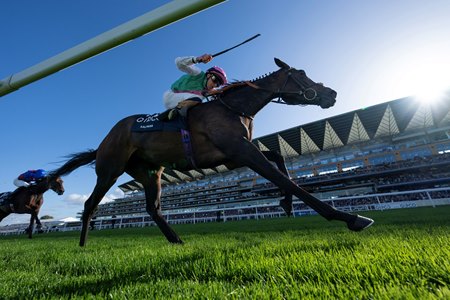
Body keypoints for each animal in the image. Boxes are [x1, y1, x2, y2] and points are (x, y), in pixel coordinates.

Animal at [52, 58, 374, 246]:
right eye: (303, 73)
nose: (331, 93)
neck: (234, 107)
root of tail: (105, 140)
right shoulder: (241, 152)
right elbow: (286, 180)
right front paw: (350, 217)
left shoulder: (234, 155)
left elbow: (280, 159)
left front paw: (286, 204)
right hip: (110, 169)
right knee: (90, 204)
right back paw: (82, 246)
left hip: (149, 172)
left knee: (152, 208)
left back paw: (176, 240)